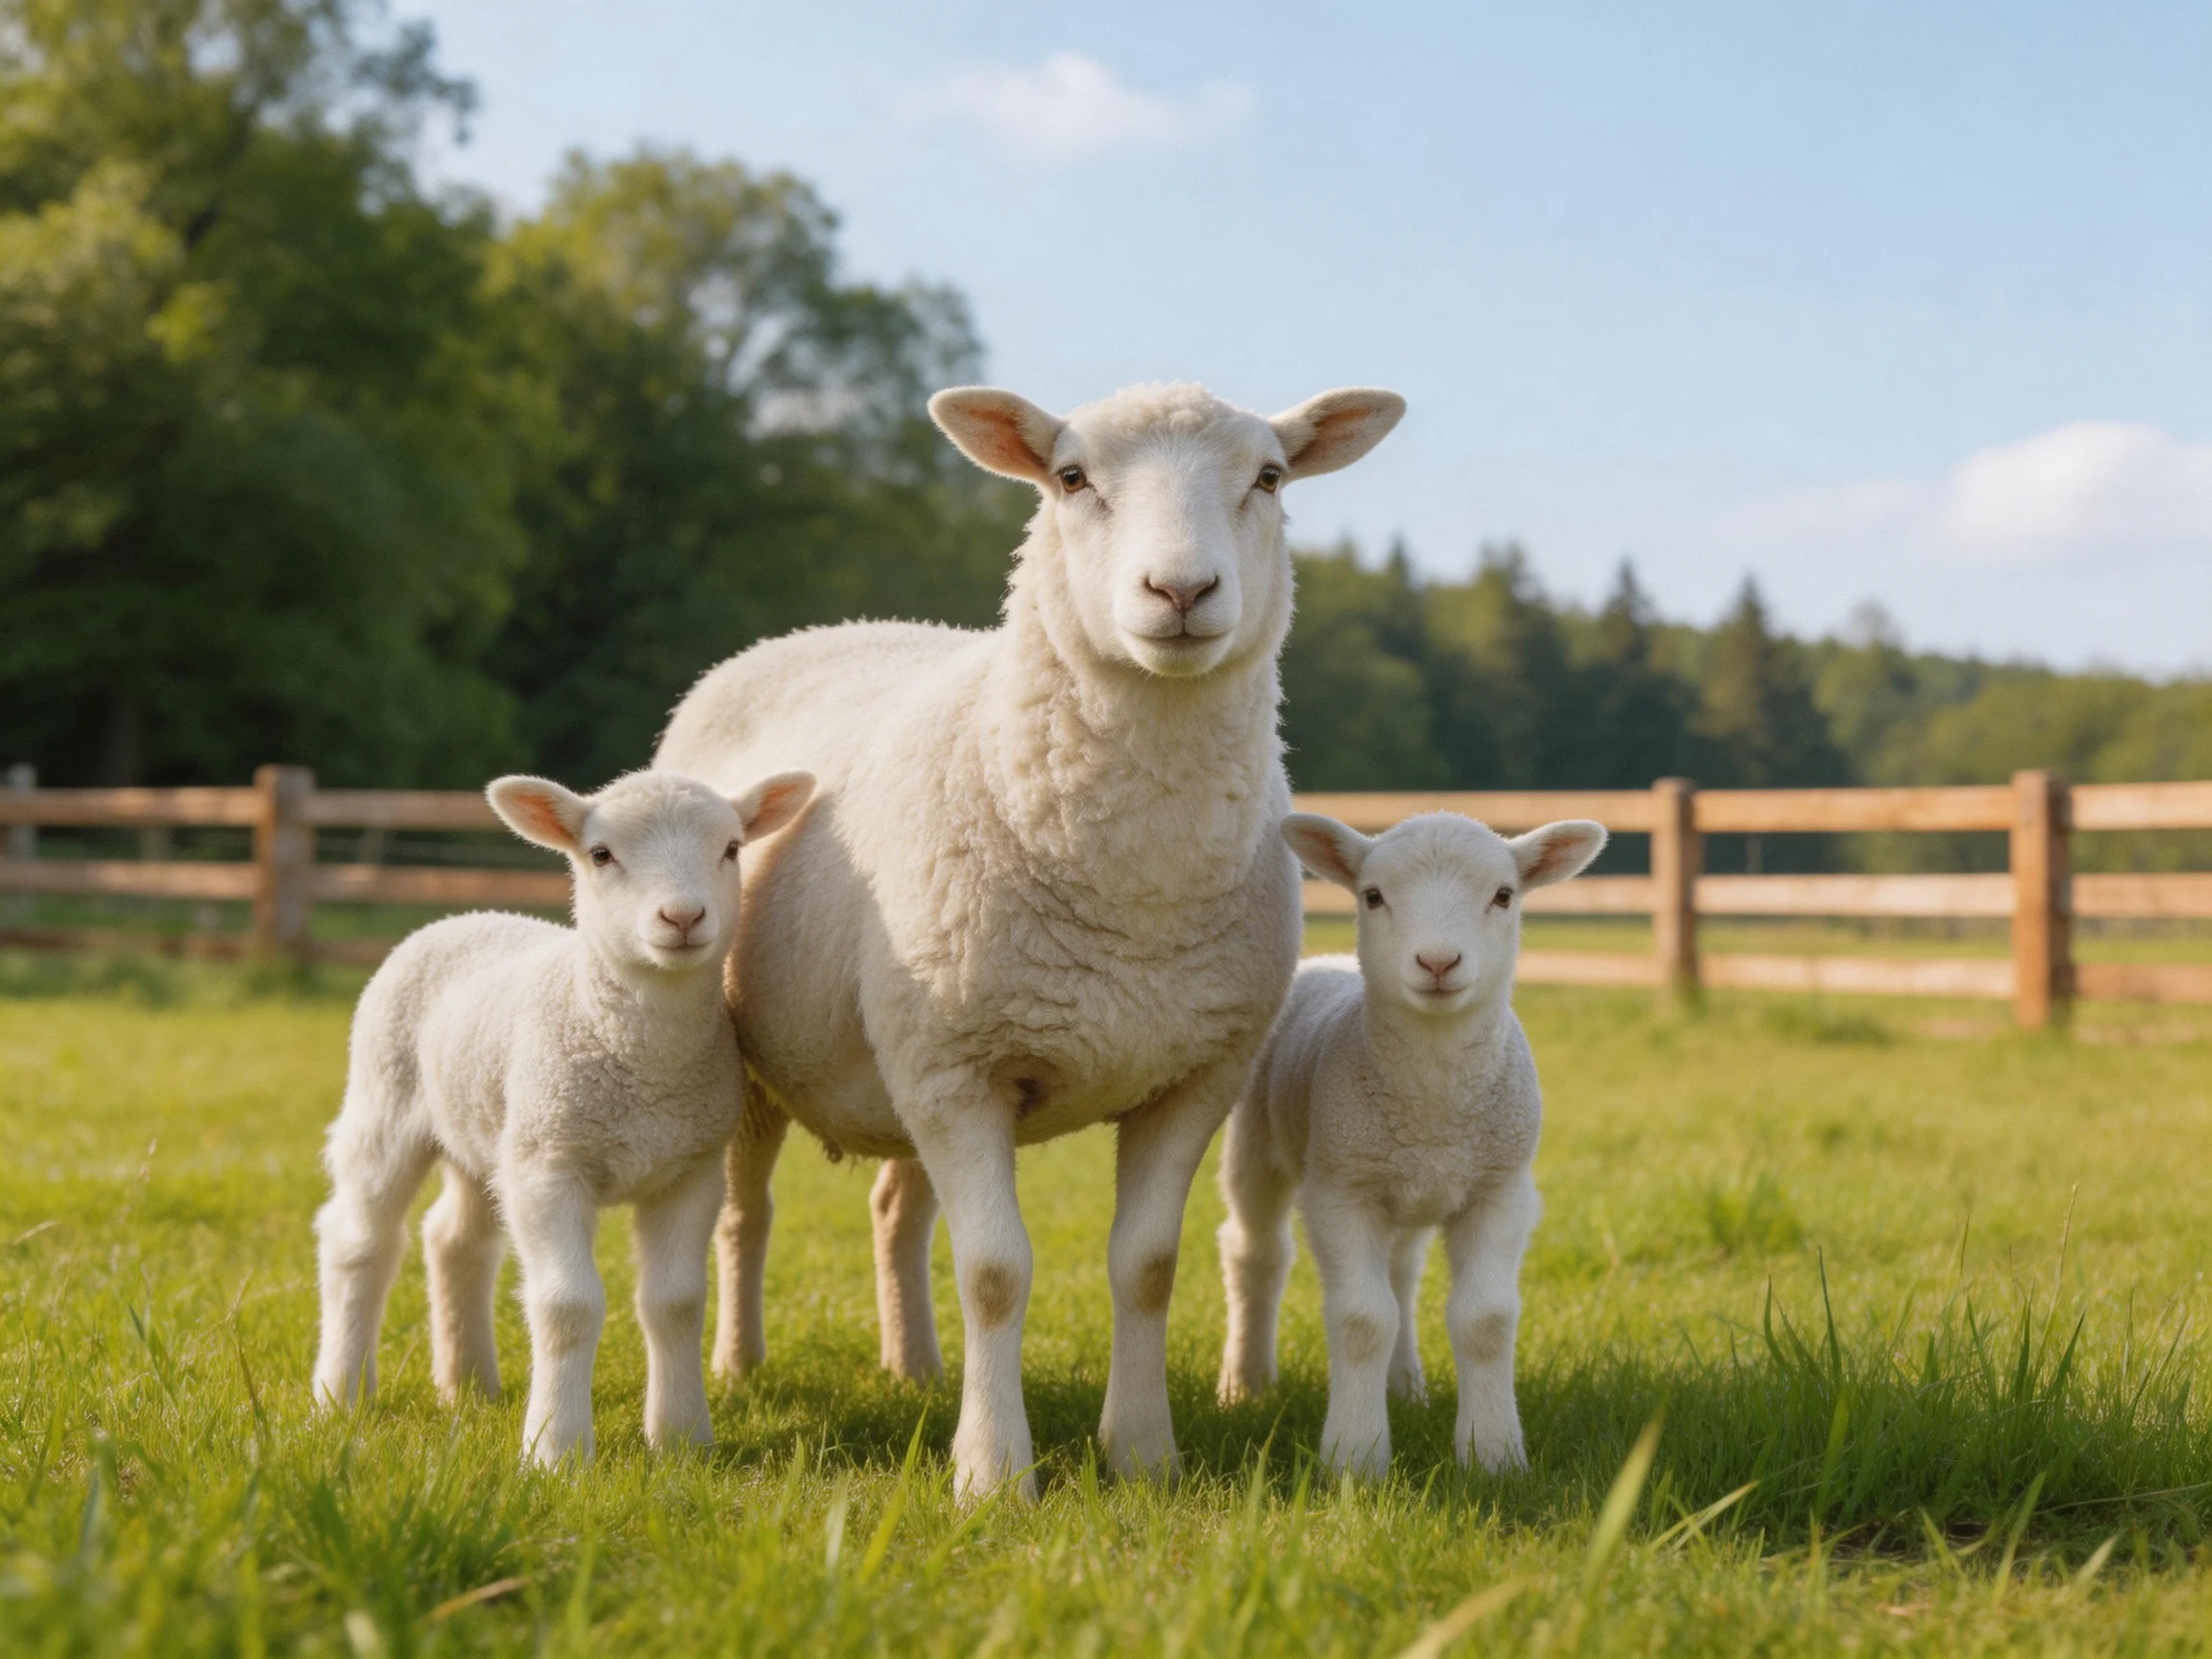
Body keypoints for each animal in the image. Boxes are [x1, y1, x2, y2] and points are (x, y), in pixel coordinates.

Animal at [310, 766, 815, 1466]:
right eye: (600, 854)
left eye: (733, 849)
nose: (683, 916)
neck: (645, 1062)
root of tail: (464, 915)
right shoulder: (549, 1167)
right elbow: (568, 1305)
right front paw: (556, 1451)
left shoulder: (690, 1170)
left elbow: (678, 1303)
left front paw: (683, 1440)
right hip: (385, 1098)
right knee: (359, 1241)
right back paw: (340, 1392)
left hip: (488, 1130)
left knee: (454, 1239)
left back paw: (469, 1385)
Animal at [655, 380, 1406, 1497]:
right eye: (1071, 477)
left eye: (1269, 477)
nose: (1180, 590)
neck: (1135, 888)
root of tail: (813, 630)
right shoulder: (958, 1069)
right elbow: (995, 1272)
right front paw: (993, 1472)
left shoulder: (1191, 1074)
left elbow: (1147, 1267)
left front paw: (1141, 1452)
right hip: (766, 1059)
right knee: (746, 1218)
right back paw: (740, 1368)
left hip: (910, 1063)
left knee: (895, 1209)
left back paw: (915, 1368)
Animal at [1215, 809, 1607, 1477]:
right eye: (1373, 896)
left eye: (1504, 896)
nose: (1438, 962)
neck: (1435, 1107)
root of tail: (1324, 959)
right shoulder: (1342, 1188)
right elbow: (1362, 1319)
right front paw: (1354, 1457)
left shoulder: (1500, 1189)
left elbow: (1485, 1319)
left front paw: (1493, 1456)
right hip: (1257, 1143)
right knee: (1255, 1254)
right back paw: (1246, 1384)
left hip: (1408, 1188)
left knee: (1400, 1274)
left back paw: (1404, 1386)